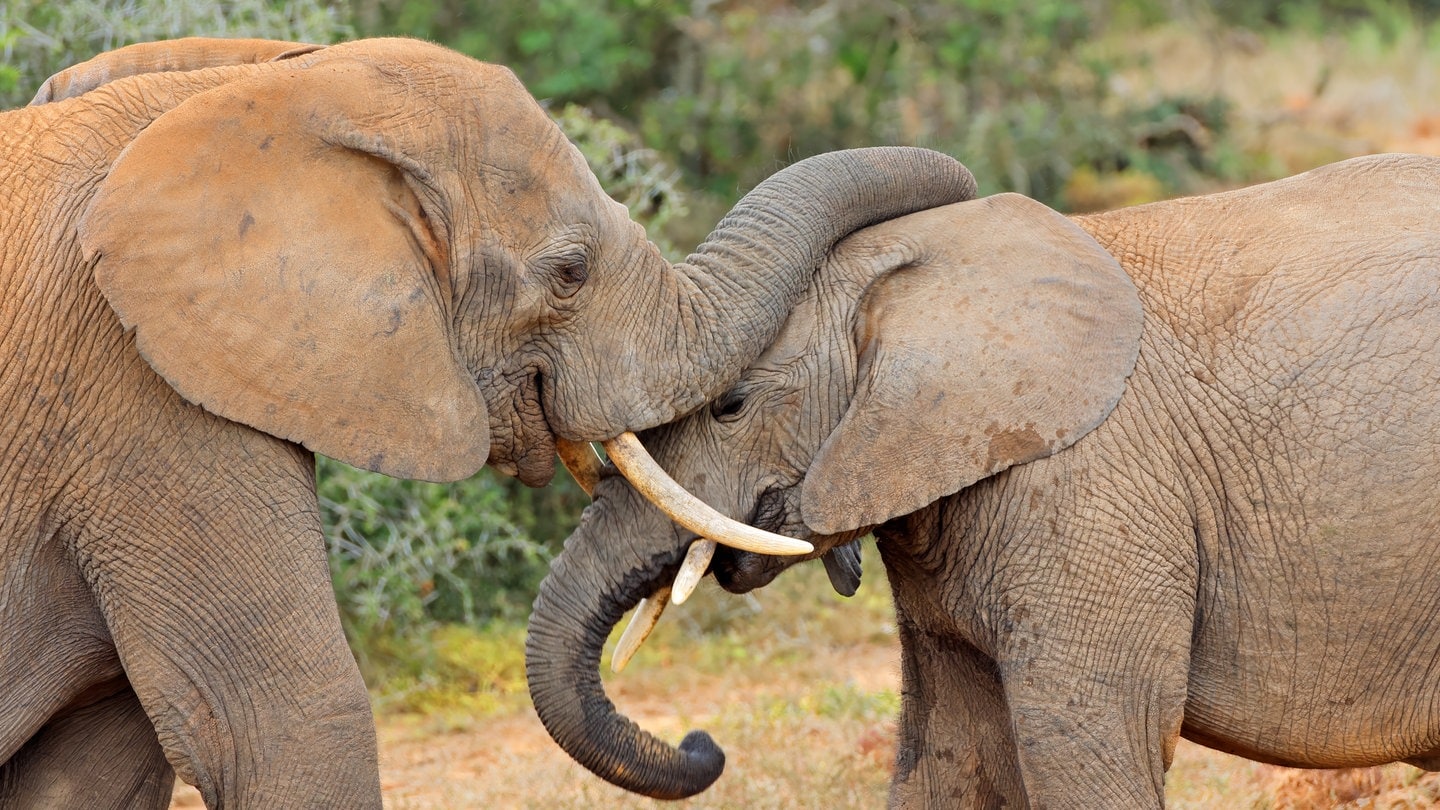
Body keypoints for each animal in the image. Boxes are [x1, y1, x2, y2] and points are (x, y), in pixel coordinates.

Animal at [529, 149, 1440, 801]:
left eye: (731, 404)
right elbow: (950, 755)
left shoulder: (1087, 497)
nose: (702, 745)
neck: (922, 269)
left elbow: (1089, 744)